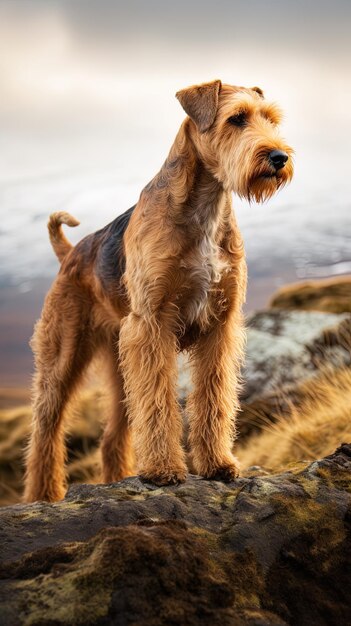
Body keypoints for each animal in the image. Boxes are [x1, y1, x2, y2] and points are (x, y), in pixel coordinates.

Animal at [24, 80, 294, 500]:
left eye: (271, 119)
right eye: (236, 118)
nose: (279, 157)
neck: (205, 208)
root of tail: (70, 253)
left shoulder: (220, 325)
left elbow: (214, 398)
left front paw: (217, 464)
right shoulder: (152, 326)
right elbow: (158, 404)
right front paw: (165, 470)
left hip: (118, 362)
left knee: (112, 438)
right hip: (63, 354)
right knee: (45, 431)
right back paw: (44, 496)